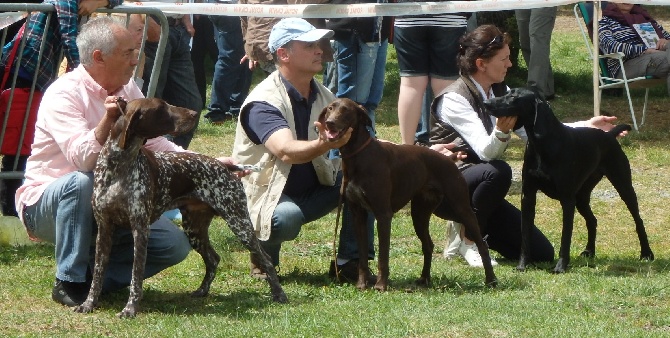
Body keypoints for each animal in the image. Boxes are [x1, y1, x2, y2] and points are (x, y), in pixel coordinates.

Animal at [74, 97, 288, 316]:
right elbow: (98, 273)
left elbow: (136, 275)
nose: (194, 113)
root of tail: (225, 166)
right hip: (195, 230)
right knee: (213, 259)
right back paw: (202, 290)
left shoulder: (140, 229)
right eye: (161, 107)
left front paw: (130, 308)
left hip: (239, 223)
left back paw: (279, 295)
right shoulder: (104, 229)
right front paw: (89, 303)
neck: (120, 165)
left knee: (265, 259)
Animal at [320, 97, 498, 290]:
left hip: (460, 208)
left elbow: (383, 256)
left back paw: (491, 280)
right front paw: (361, 284)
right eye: (330, 108)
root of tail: (449, 159)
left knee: (481, 244)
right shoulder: (357, 214)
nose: (329, 123)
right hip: (422, 213)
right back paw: (425, 279)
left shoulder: (383, 214)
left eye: (346, 110)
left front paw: (381, 286)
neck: (359, 156)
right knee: (428, 245)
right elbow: (362, 257)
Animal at [486, 86, 652, 272]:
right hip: (581, 197)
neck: (542, 144)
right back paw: (589, 251)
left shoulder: (567, 200)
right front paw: (522, 265)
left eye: (514, 96)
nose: (486, 103)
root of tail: (609, 135)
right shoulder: (528, 196)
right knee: (592, 220)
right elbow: (525, 236)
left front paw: (560, 267)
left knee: (638, 220)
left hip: (623, 186)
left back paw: (646, 253)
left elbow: (565, 236)